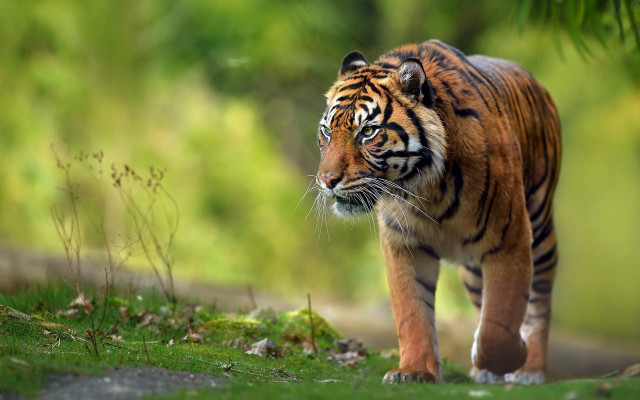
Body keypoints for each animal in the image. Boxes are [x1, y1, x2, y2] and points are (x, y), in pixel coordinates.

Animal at [314, 40, 561, 384]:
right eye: (326, 131)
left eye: (368, 132)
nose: (326, 181)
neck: (426, 188)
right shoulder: (405, 244)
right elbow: (412, 313)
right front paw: (414, 371)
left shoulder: (509, 238)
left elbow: (500, 322)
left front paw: (512, 355)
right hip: (473, 269)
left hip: (539, 226)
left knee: (539, 301)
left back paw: (530, 370)